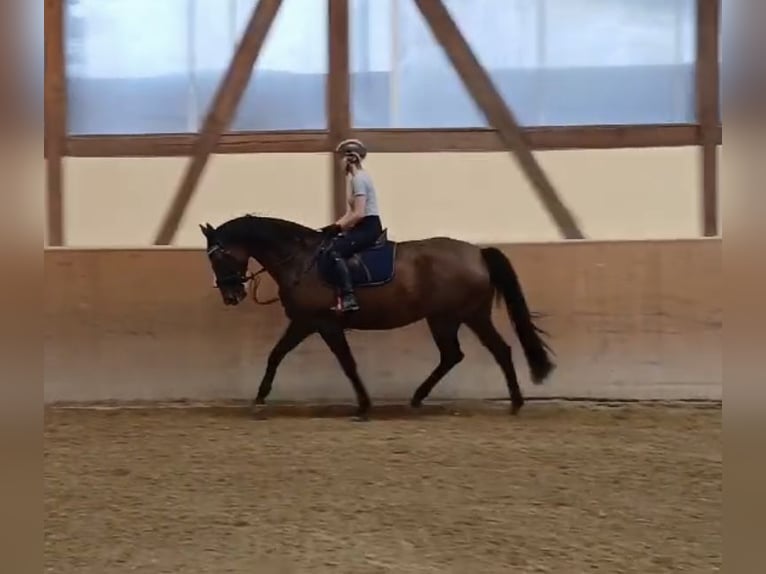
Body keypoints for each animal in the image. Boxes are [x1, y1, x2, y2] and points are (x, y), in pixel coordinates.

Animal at [200, 214, 554, 421]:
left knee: (495, 351)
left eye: (219, 256)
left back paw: (515, 403)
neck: (300, 259)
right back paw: (420, 398)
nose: (231, 296)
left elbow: (345, 363)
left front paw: (363, 406)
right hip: (448, 318)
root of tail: (478, 253)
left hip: (464, 316)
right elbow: (276, 355)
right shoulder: (305, 323)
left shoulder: (320, 324)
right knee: (458, 355)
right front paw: (260, 398)